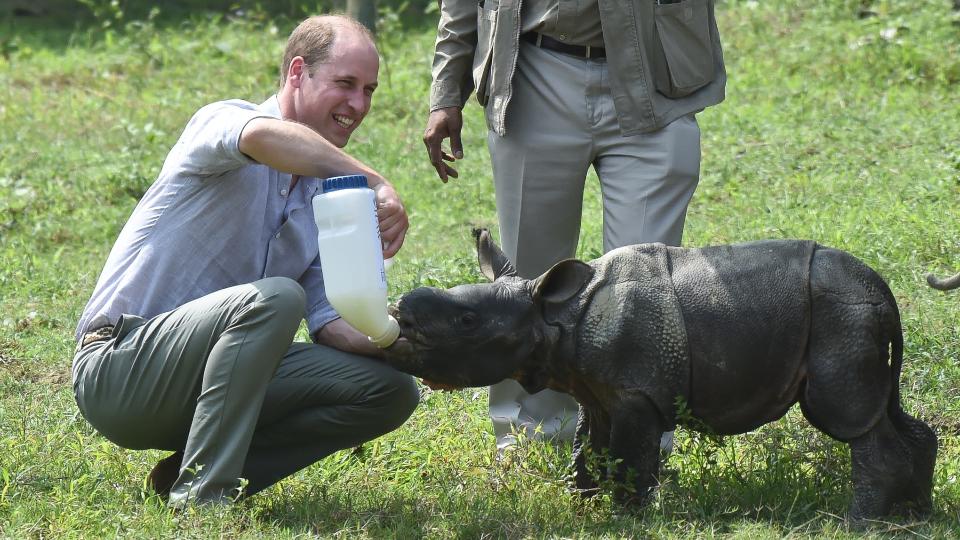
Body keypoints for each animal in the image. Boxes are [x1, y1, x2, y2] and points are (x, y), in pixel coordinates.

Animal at [378, 230, 932, 520]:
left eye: (467, 322)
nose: (399, 314)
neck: (553, 316)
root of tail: (884, 292)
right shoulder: (595, 388)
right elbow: (587, 448)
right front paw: (580, 508)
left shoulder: (636, 392)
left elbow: (628, 457)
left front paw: (628, 518)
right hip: (853, 314)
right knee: (886, 410)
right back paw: (916, 513)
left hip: (841, 314)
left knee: (848, 416)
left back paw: (860, 522)